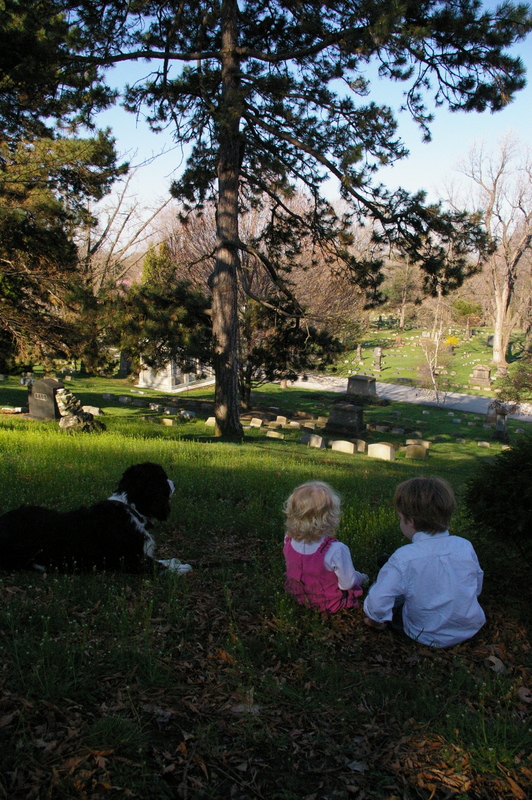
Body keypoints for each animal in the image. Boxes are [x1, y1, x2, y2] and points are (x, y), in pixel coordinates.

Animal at [0, 462, 191, 575]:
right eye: (163, 478)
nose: (175, 483)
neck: (130, 507)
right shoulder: (130, 560)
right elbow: (159, 564)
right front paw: (181, 566)